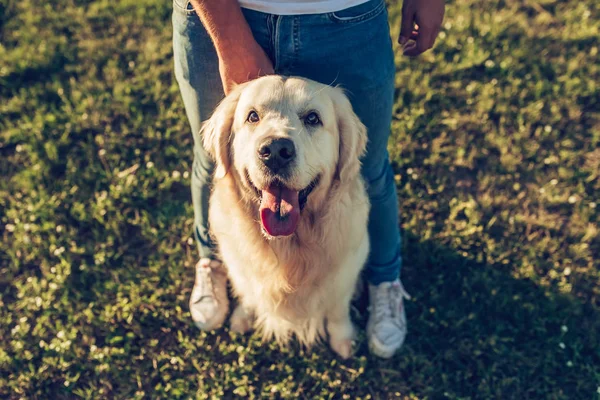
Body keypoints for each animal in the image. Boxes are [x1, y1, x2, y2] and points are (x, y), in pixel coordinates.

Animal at [204, 76, 368, 360]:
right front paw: (243, 316)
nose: (275, 150)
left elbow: (338, 310)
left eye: (313, 118)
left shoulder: (344, 274)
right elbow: (248, 293)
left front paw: (343, 339)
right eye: (253, 116)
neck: (288, 248)